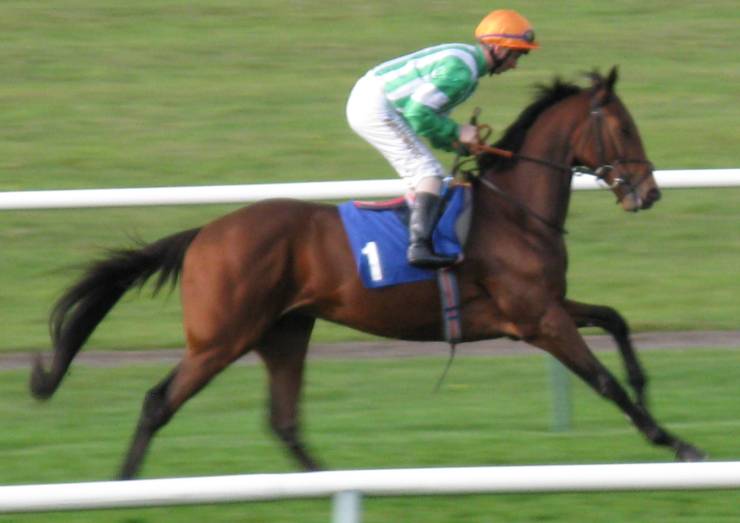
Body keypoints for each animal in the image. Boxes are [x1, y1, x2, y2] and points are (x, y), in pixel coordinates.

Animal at [30, 67, 705, 480]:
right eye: (624, 126)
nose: (647, 192)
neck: (513, 210)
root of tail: (204, 234)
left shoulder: (545, 307)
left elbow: (616, 321)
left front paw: (651, 390)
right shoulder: (535, 319)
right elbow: (603, 381)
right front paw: (674, 441)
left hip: (283, 333)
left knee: (283, 421)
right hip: (222, 337)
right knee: (157, 403)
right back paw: (121, 487)